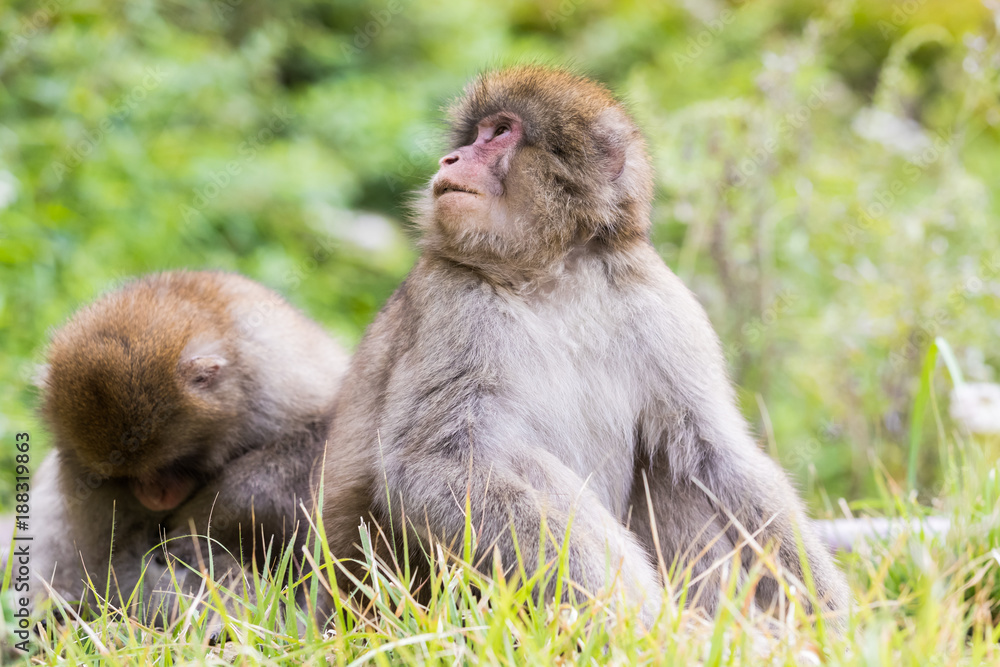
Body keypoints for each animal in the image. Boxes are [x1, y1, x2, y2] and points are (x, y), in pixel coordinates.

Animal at [29, 272, 350, 628]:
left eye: (172, 463)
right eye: (125, 477)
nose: (155, 496)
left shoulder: (277, 380)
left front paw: (214, 513)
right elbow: (115, 566)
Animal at [322, 65, 852, 628]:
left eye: (500, 133)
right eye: (475, 136)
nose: (452, 159)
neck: (556, 273)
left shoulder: (662, 303)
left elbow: (717, 454)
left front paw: (835, 618)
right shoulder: (453, 303)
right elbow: (431, 465)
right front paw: (640, 624)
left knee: (673, 468)